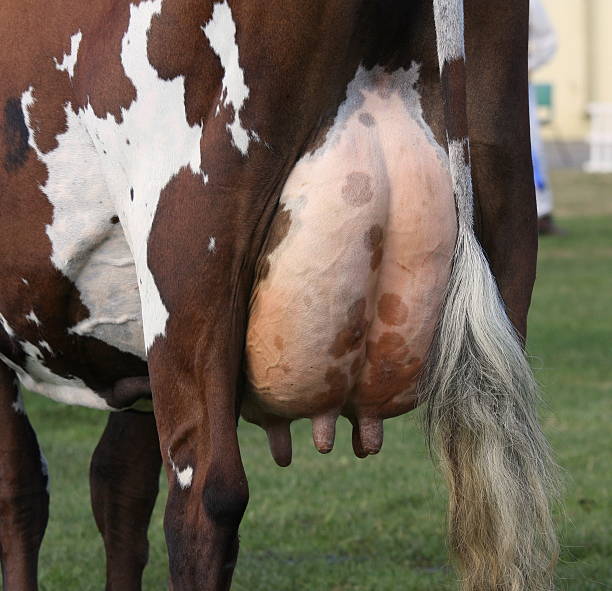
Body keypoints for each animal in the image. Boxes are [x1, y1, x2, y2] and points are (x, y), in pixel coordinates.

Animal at [0, 0, 560, 588]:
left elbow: (20, 492)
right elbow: (119, 488)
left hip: (186, 274)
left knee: (206, 501)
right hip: (507, 232)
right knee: (510, 483)